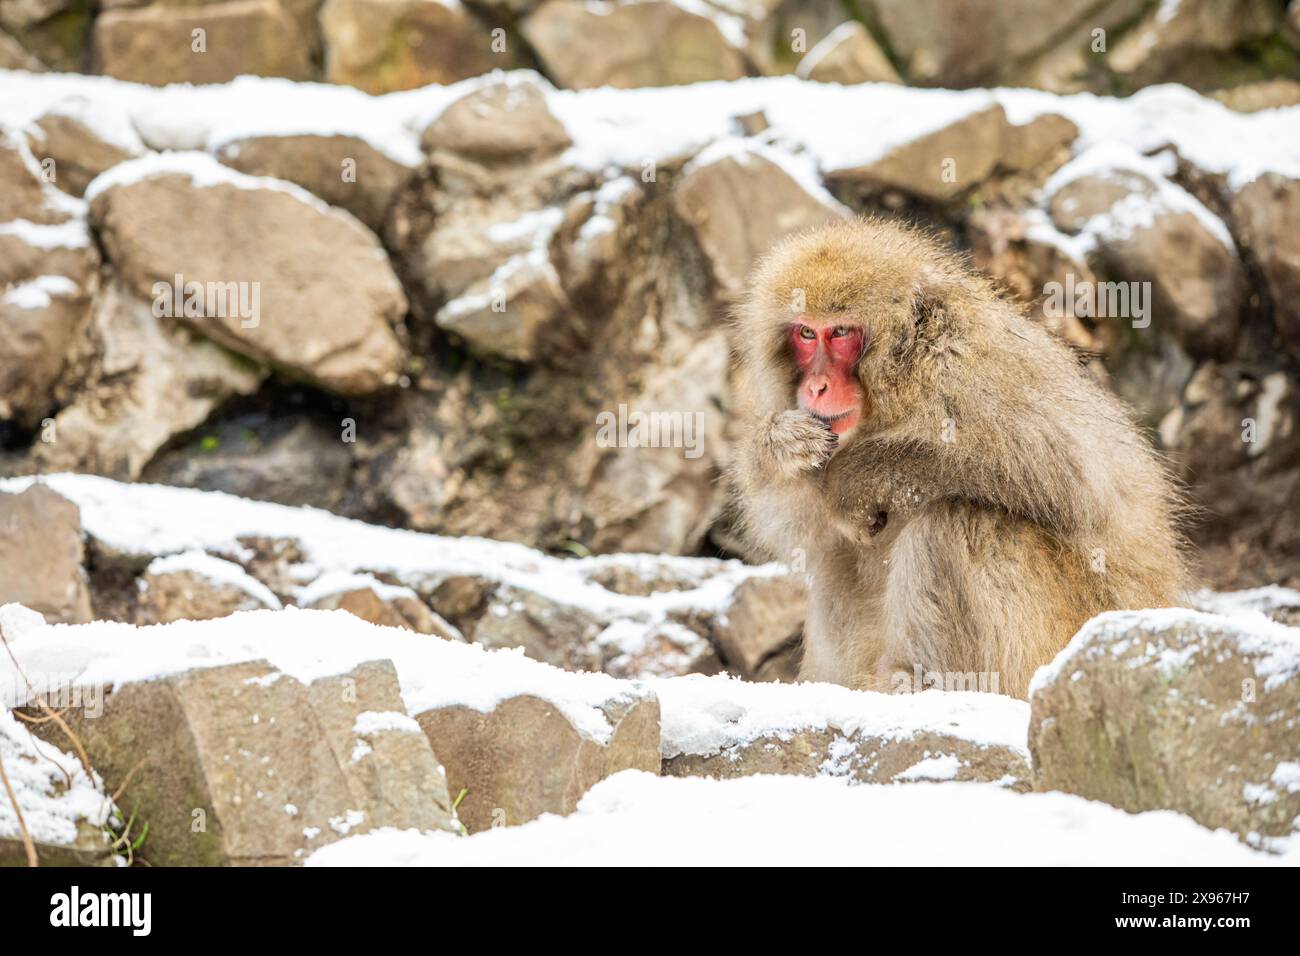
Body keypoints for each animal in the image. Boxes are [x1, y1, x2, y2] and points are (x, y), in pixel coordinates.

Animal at [733, 218, 1190, 697]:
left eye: (840, 333)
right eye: (806, 334)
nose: (816, 386)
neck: (901, 384)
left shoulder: (967, 367)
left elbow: (1067, 478)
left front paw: (856, 480)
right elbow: (804, 531)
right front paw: (777, 446)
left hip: (1051, 647)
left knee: (959, 518)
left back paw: (919, 682)